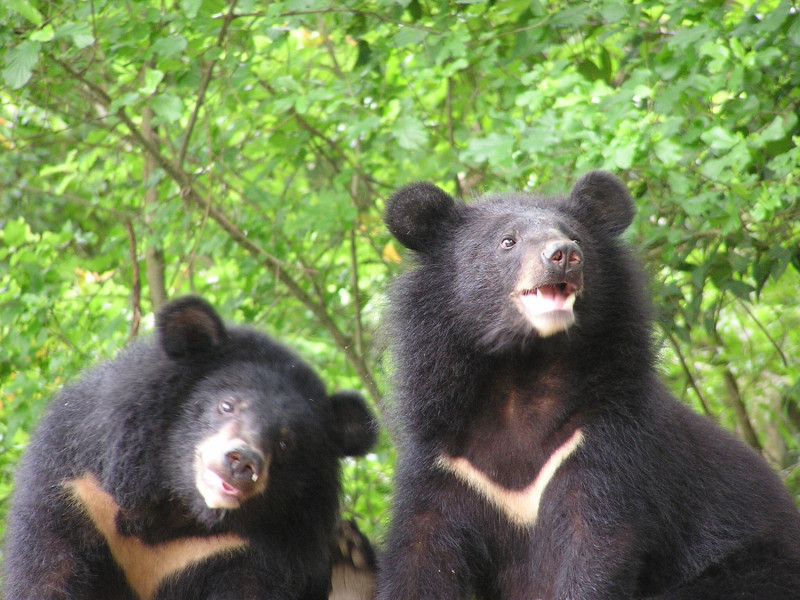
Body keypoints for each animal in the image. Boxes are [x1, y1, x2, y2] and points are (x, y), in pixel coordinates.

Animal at [3, 296, 378, 600]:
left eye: (286, 442)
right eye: (227, 405)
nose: (242, 462)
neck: (177, 508)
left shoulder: (249, 551)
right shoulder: (82, 491)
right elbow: (47, 571)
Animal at [378, 170, 800, 600]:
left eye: (576, 238)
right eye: (508, 241)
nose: (563, 254)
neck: (522, 375)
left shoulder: (605, 445)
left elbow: (596, 547)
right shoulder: (446, 461)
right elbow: (422, 555)